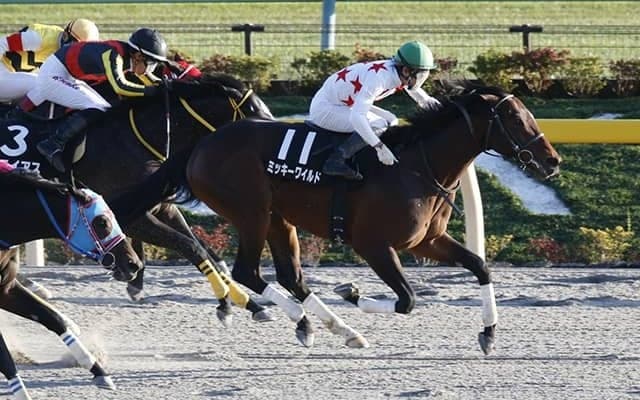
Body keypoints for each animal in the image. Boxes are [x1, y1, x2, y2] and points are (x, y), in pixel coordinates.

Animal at [0, 72, 275, 325]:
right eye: (254, 111)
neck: (136, 138)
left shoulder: (162, 208)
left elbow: (208, 253)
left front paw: (253, 305)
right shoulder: (124, 215)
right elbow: (191, 246)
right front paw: (225, 305)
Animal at [0, 165, 144, 399]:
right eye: (102, 222)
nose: (134, 264)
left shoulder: (6, 288)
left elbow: (52, 318)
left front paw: (98, 370)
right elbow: (4, 356)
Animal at [130, 82, 561, 353]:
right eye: (516, 119)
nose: (552, 161)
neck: (416, 166)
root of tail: (203, 143)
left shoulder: (428, 240)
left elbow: (479, 266)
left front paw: (489, 333)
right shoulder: (373, 244)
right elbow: (407, 300)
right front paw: (351, 292)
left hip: (278, 218)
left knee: (290, 276)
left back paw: (334, 328)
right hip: (251, 212)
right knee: (247, 271)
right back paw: (302, 318)